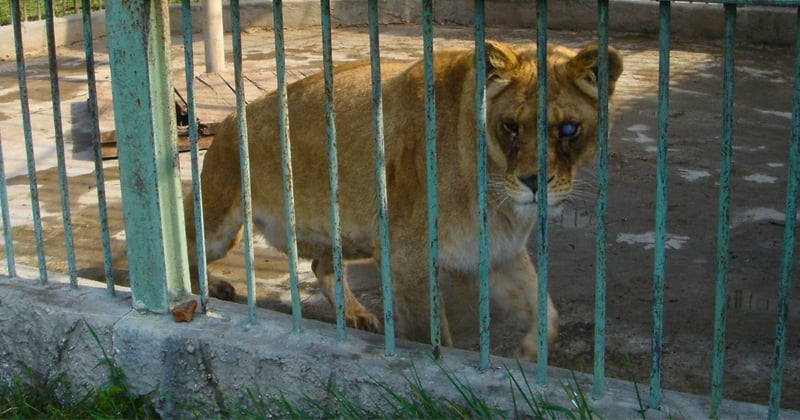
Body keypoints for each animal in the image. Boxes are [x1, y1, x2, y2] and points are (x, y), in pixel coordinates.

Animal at [185, 40, 623, 360]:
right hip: (220, 226)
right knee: (186, 247)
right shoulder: (407, 258)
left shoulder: (497, 253)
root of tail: (232, 117)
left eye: (568, 129)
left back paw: (356, 314)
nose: (534, 182)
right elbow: (435, 339)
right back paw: (206, 290)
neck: (496, 192)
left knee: (320, 263)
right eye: (511, 127)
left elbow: (548, 314)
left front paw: (528, 356)